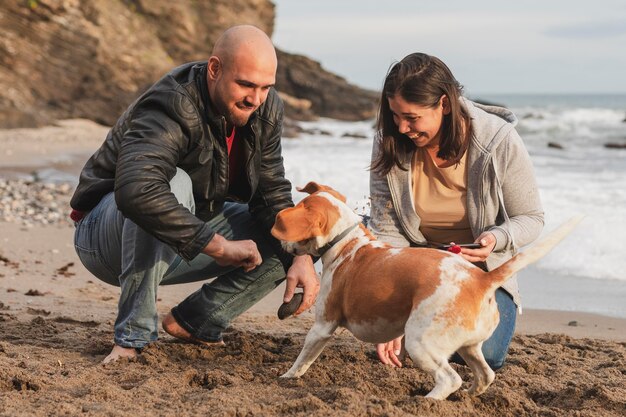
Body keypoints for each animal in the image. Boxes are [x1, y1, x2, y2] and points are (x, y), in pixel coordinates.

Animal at [272, 183, 580, 400]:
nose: (284, 248)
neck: (347, 243)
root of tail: (482, 279)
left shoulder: (323, 327)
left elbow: (303, 359)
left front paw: (287, 376)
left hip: (420, 343)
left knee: (449, 379)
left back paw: (427, 401)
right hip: (469, 347)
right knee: (485, 376)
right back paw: (467, 397)